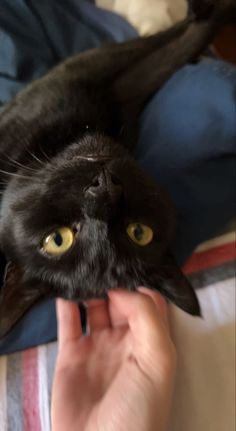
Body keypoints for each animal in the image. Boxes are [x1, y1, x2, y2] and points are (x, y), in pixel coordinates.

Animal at [0, 0, 235, 338]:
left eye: (138, 232)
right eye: (57, 240)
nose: (104, 187)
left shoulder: (118, 78)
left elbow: (182, 42)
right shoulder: (106, 71)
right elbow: (181, 42)